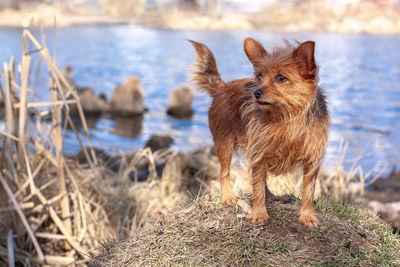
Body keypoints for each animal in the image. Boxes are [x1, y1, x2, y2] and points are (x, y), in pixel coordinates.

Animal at [192, 38, 330, 228]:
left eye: (281, 78)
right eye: (259, 76)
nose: (256, 92)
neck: (287, 117)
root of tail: (222, 87)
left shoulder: (311, 160)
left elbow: (308, 192)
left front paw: (307, 216)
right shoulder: (259, 152)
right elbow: (256, 188)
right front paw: (258, 214)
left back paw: (272, 197)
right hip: (225, 143)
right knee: (224, 173)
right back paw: (227, 197)